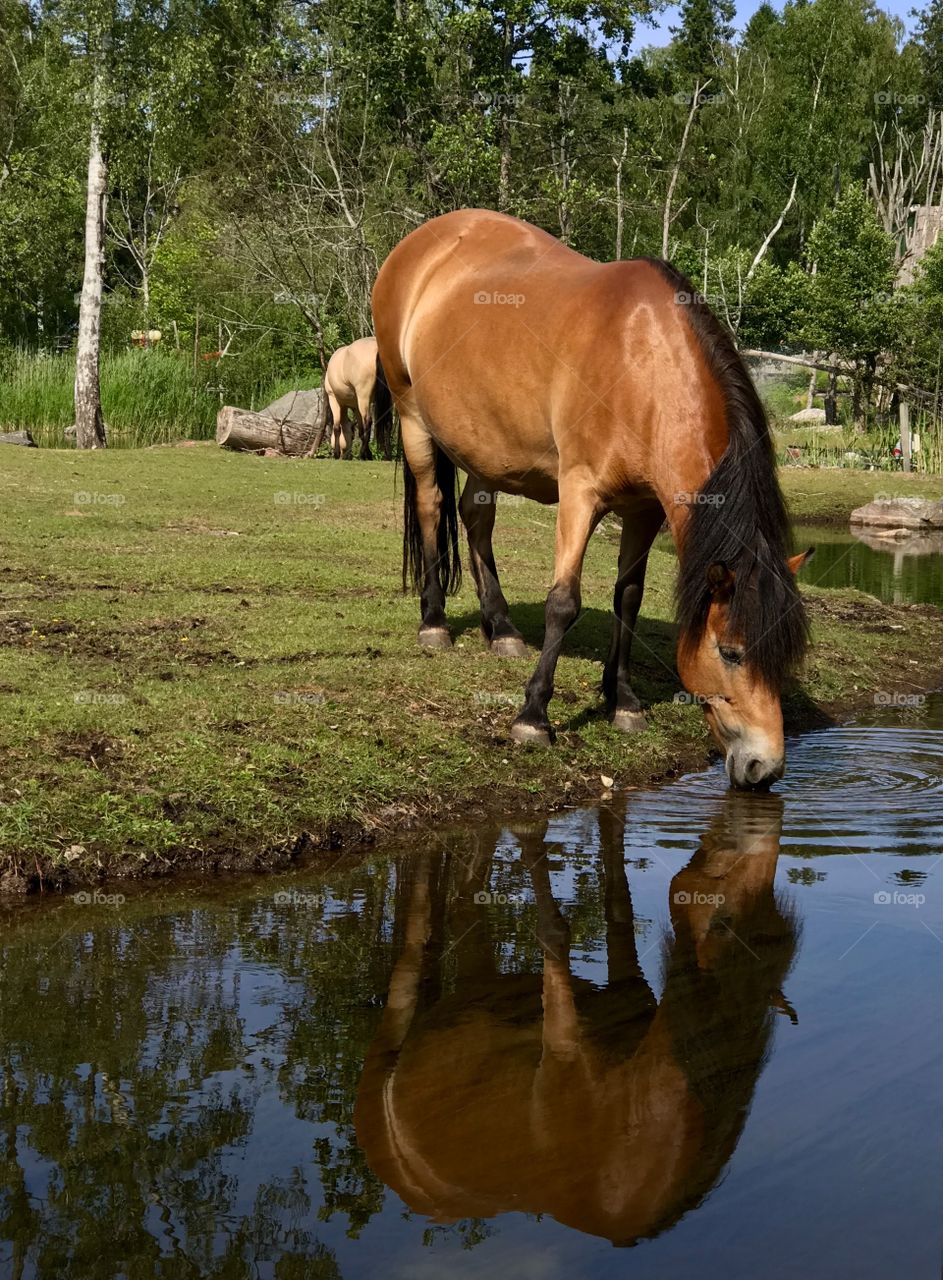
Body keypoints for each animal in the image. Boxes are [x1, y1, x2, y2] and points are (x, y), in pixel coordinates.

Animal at [353, 793, 793, 1244]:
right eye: (723, 923)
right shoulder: (563, 1056)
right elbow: (554, 933)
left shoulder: (629, 990)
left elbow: (618, 906)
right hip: (395, 1021)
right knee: (417, 937)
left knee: (465, 901)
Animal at [371, 209, 813, 783]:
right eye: (731, 652)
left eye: (783, 657)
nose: (765, 767)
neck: (641, 362)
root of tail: (419, 246)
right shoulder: (579, 493)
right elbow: (564, 601)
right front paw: (533, 717)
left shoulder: (644, 510)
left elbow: (629, 597)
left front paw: (621, 700)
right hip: (413, 421)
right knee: (431, 508)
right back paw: (434, 623)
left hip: (485, 444)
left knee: (475, 518)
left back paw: (501, 628)